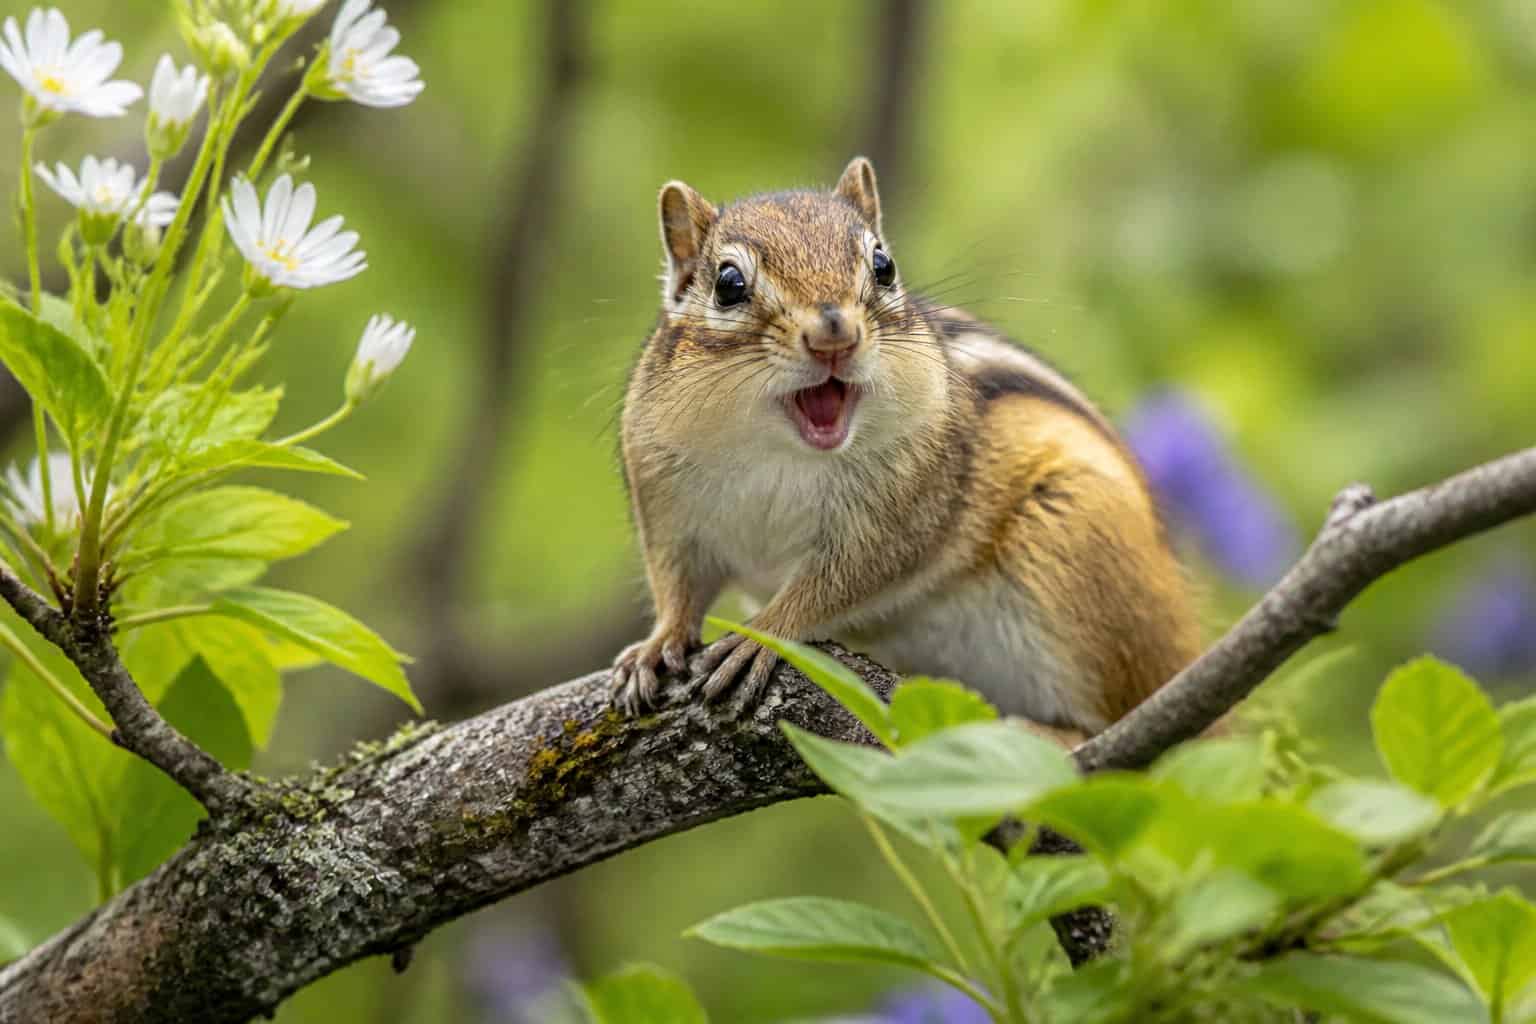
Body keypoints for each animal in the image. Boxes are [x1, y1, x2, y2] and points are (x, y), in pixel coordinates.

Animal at [610, 157, 1201, 743]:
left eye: (883, 265)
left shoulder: (902, 515)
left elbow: (838, 581)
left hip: (1075, 541)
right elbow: (677, 583)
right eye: (729, 284)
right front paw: (656, 643)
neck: (778, 453)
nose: (834, 333)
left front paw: (762, 636)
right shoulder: (665, 505)